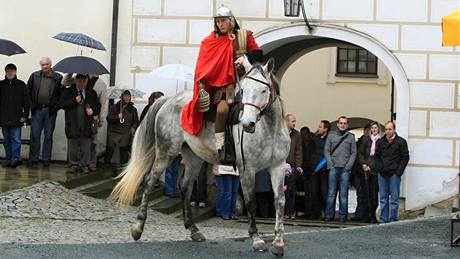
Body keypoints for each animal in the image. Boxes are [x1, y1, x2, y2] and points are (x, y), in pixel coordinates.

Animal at [111, 55, 290, 256]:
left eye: (263, 90)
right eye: (243, 90)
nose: (247, 124)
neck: (269, 130)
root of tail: (168, 99)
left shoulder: (278, 166)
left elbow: (280, 201)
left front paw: (278, 243)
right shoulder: (247, 170)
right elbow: (251, 202)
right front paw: (257, 240)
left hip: (194, 158)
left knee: (185, 187)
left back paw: (193, 229)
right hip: (166, 151)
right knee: (150, 180)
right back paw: (138, 227)